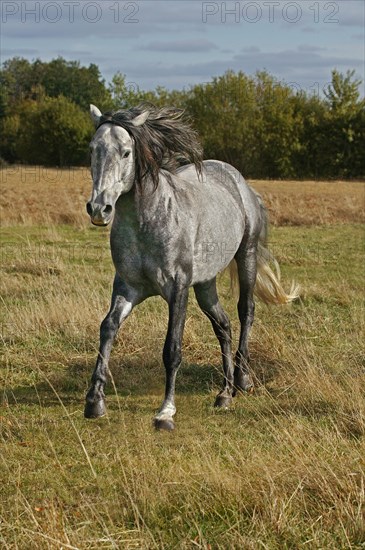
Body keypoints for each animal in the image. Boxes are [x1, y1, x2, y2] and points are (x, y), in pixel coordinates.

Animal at [85, 102, 298, 432]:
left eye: (126, 152)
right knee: (223, 324)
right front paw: (95, 401)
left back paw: (243, 379)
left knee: (245, 311)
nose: (99, 209)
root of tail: (239, 181)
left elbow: (172, 348)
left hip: (246, 256)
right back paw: (224, 394)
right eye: (93, 149)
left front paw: (165, 412)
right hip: (205, 284)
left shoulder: (178, 288)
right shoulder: (127, 287)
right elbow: (107, 329)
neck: (147, 221)